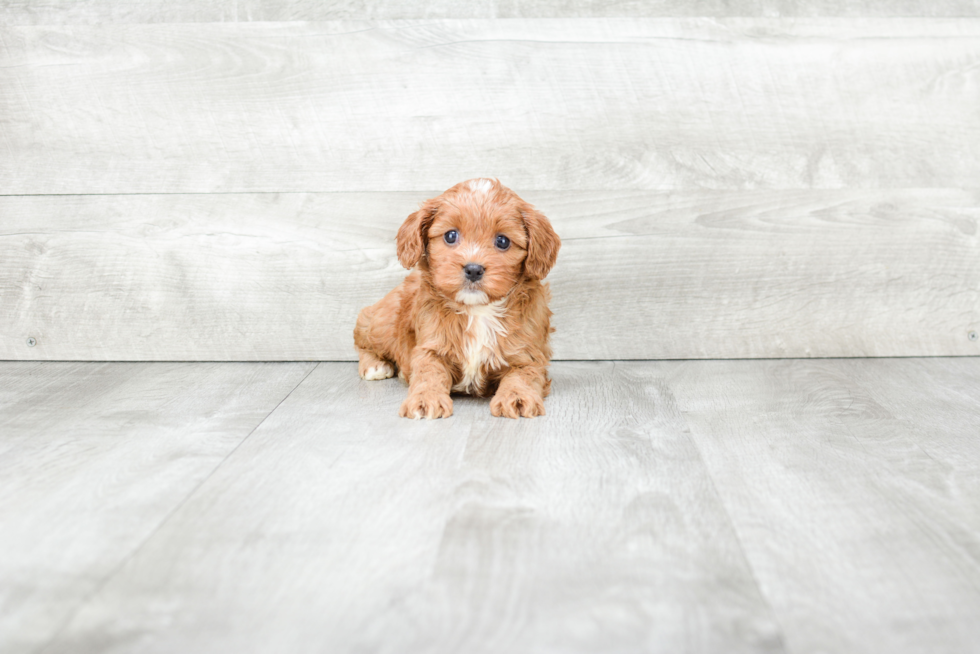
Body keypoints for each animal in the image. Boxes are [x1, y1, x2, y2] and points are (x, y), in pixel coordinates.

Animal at [356, 178, 564, 420]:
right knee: (363, 334)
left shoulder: (527, 354)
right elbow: (429, 373)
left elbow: (523, 375)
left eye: (502, 241)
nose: (473, 269)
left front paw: (518, 398)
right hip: (384, 321)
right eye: (450, 235)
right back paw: (375, 366)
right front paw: (425, 399)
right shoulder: (430, 347)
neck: (478, 310)